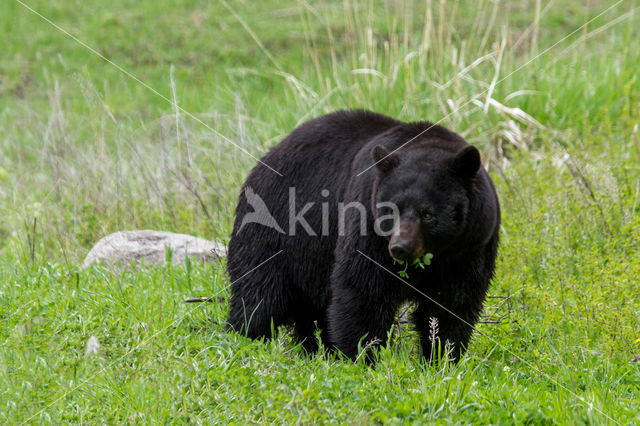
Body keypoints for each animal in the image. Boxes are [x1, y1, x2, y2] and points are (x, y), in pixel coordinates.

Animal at [225, 108, 500, 362]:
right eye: (391, 209)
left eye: (427, 214)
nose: (400, 248)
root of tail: (266, 156)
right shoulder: (368, 223)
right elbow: (362, 289)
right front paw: (361, 355)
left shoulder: (471, 249)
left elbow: (452, 304)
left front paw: (442, 356)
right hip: (275, 227)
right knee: (260, 293)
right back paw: (245, 338)